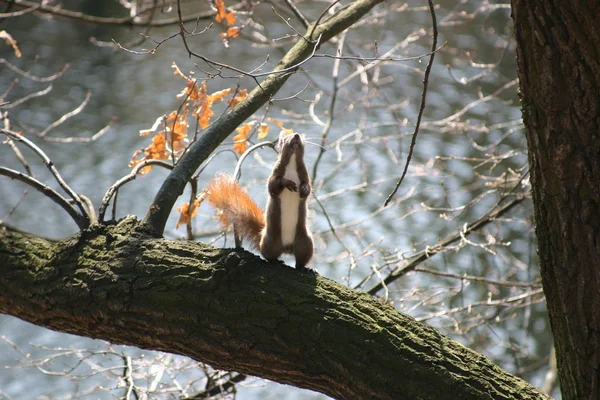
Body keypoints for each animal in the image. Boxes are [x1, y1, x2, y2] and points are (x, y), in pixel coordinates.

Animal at [207, 131, 314, 272]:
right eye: (286, 137)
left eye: (300, 136)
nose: (296, 135)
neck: (291, 164)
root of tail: (287, 248)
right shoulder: (274, 175)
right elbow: (273, 186)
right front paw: (286, 183)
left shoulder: (305, 176)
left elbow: (308, 187)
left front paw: (304, 189)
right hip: (271, 240)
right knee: (268, 254)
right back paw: (275, 262)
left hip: (304, 242)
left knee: (301, 259)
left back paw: (304, 268)